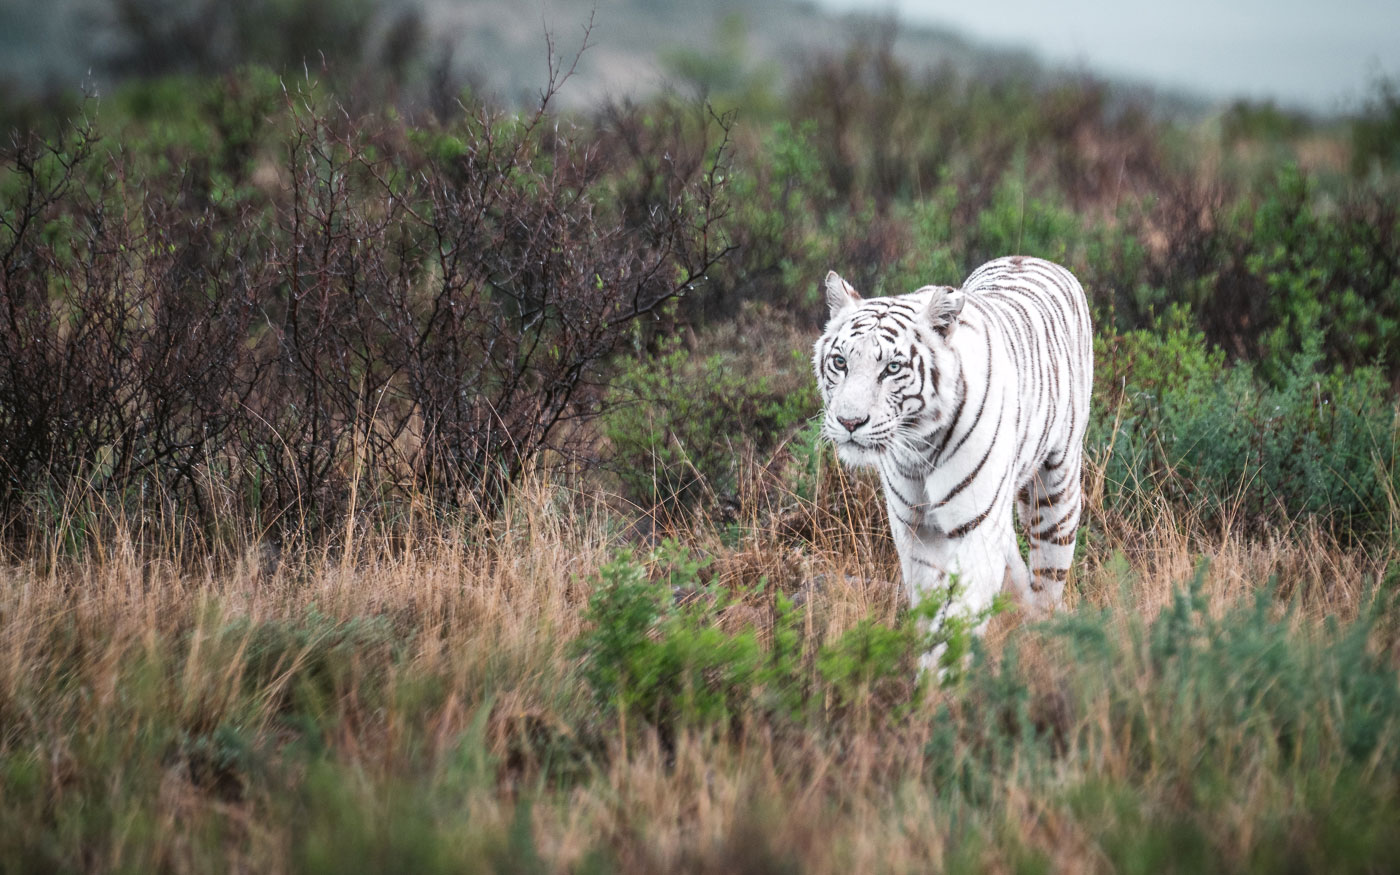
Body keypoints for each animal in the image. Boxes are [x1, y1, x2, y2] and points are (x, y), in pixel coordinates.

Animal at [812, 256, 1092, 672]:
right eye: (840, 362)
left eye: (892, 368)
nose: (849, 422)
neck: (917, 444)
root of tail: (1029, 257)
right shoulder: (916, 529)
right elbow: (930, 609)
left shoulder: (977, 526)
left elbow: (956, 624)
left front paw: (937, 683)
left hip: (1057, 488)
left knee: (1048, 572)